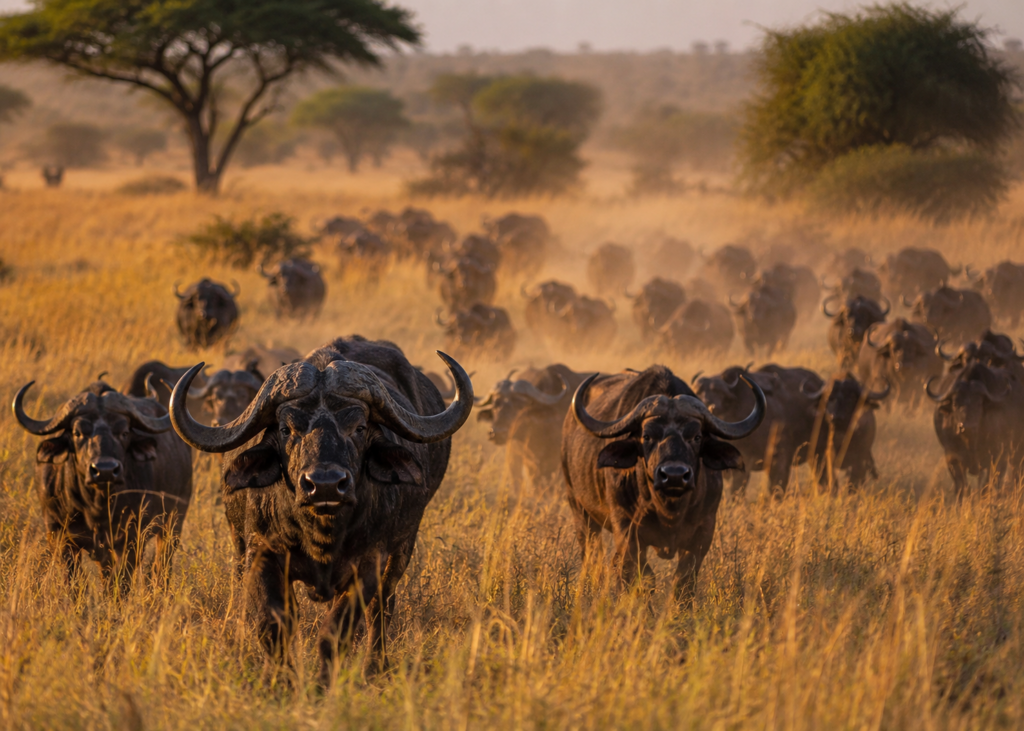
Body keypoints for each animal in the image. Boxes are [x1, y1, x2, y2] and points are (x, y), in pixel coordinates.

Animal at [14, 379, 192, 589]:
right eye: (77, 433)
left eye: (124, 432)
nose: (104, 470)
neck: (96, 507)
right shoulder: (58, 534)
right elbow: (74, 581)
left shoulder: (132, 538)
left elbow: (120, 582)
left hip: (174, 522)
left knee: (161, 564)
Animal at [169, 337, 473, 684]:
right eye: (286, 429)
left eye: (359, 427)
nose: (325, 485)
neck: (321, 532)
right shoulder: (261, 553)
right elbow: (273, 625)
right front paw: (279, 681)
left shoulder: (368, 564)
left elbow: (337, 631)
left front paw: (323, 684)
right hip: (237, 542)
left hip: (402, 549)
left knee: (382, 607)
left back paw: (375, 666)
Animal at [562, 366, 764, 597]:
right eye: (647, 436)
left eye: (696, 436)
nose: (674, 475)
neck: (669, 509)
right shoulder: (627, 530)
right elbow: (643, 576)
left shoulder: (703, 532)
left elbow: (684, 580)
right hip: (579, 510)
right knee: (593, 556)